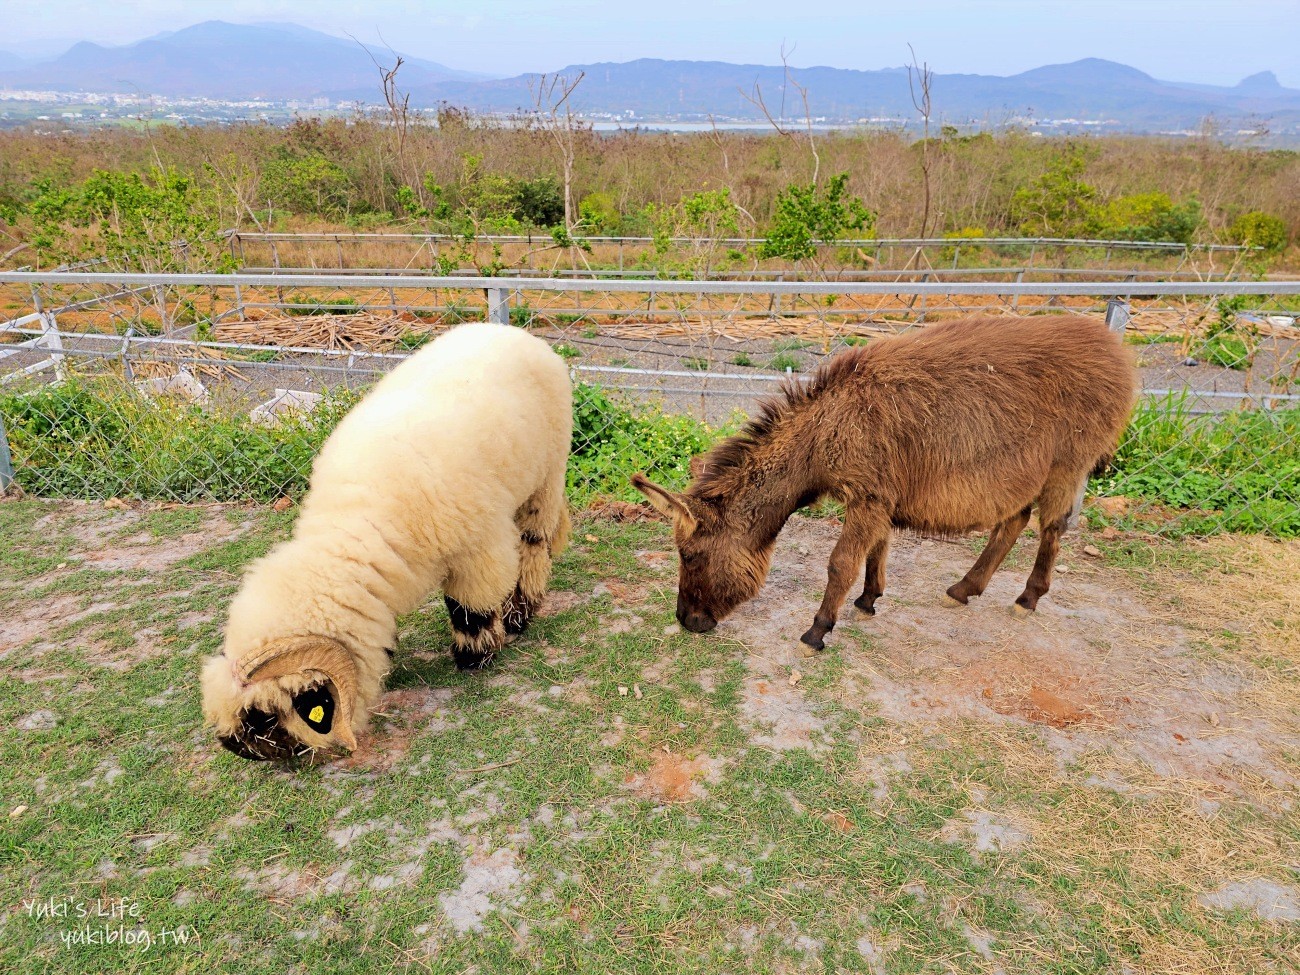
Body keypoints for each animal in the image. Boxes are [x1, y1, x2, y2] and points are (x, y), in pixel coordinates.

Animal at [200, 325, 572, 759]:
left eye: (263, 718)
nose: (235, 748)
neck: (358, 522)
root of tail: (509, 330)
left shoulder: (479, 546)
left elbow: (468, 607)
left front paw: (473, 656)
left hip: (547, 474)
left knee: (534, 543)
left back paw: (521, 613)